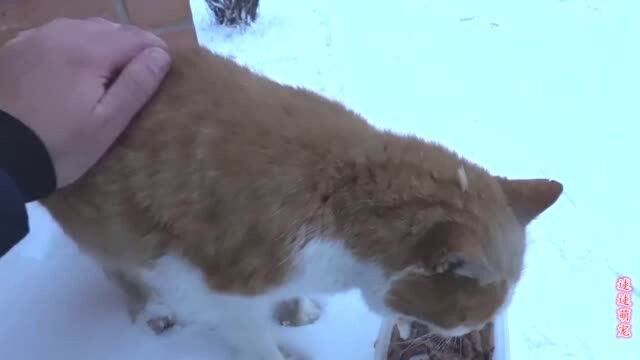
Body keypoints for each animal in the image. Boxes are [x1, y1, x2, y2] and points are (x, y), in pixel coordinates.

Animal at [40, 46, 564, 358]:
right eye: (465, 318)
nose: (465, 334)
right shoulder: (224, 298)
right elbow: (259, 344)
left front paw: (297, 313)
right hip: (109, 230)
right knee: (118, 268)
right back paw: (153, 309)